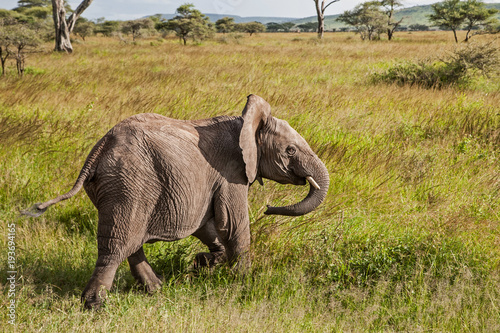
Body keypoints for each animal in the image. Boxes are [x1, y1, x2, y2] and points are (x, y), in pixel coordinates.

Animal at [23, 93, 330, 308]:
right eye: (290, 150)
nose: (268, 209)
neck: (245, 123)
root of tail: (100, 147)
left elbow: (207, 225)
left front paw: (204, 263)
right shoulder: (232, 172)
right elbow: (231, 223)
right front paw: (243, 284)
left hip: (116, 187)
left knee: (130, 240)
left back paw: (155, 290)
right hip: (130, 183)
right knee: (118, 243)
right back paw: (94, 305)